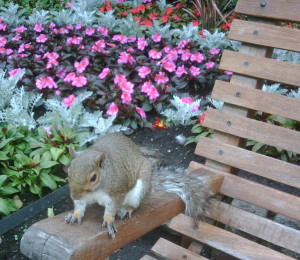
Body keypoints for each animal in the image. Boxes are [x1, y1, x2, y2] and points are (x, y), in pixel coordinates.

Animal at [65, 134, 213, 238]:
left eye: (93, 177)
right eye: (68, 171)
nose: (74, 195)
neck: (95, 190)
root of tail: (149, 188)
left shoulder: (117, 191)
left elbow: (112, 208)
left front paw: (108, 220)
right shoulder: (82, 196)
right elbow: (79, 205)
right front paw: (75, 215)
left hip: (139, 191)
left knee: (135, 205)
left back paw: (126, 209)